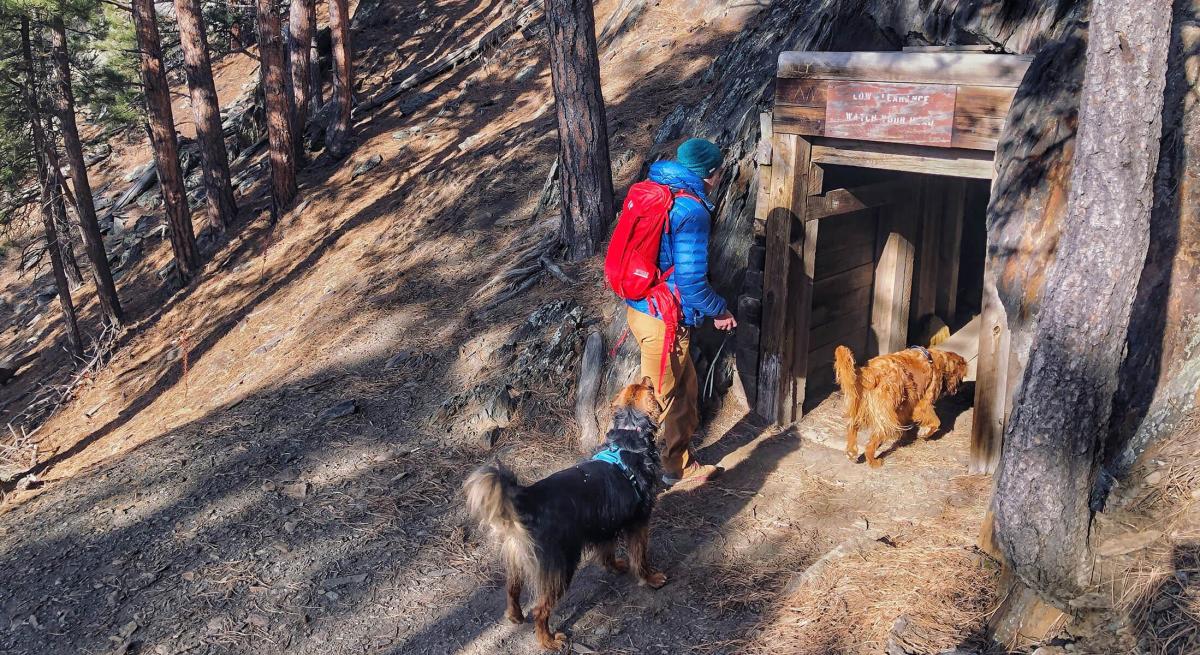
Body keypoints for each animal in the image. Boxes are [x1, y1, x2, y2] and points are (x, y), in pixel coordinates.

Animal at [460, 376, 667, 647]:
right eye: (649, 388)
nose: (647, 377)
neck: (628, 436)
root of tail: (528, 498)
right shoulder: (639, 521)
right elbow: (640, 557)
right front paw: (650, 579)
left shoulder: (605, 521)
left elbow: (608, 552)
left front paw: (615, 567)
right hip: (561, 566)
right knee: (540, 610)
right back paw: (548, 640)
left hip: (518, 559)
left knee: (512, 589)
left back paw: (515, 616)